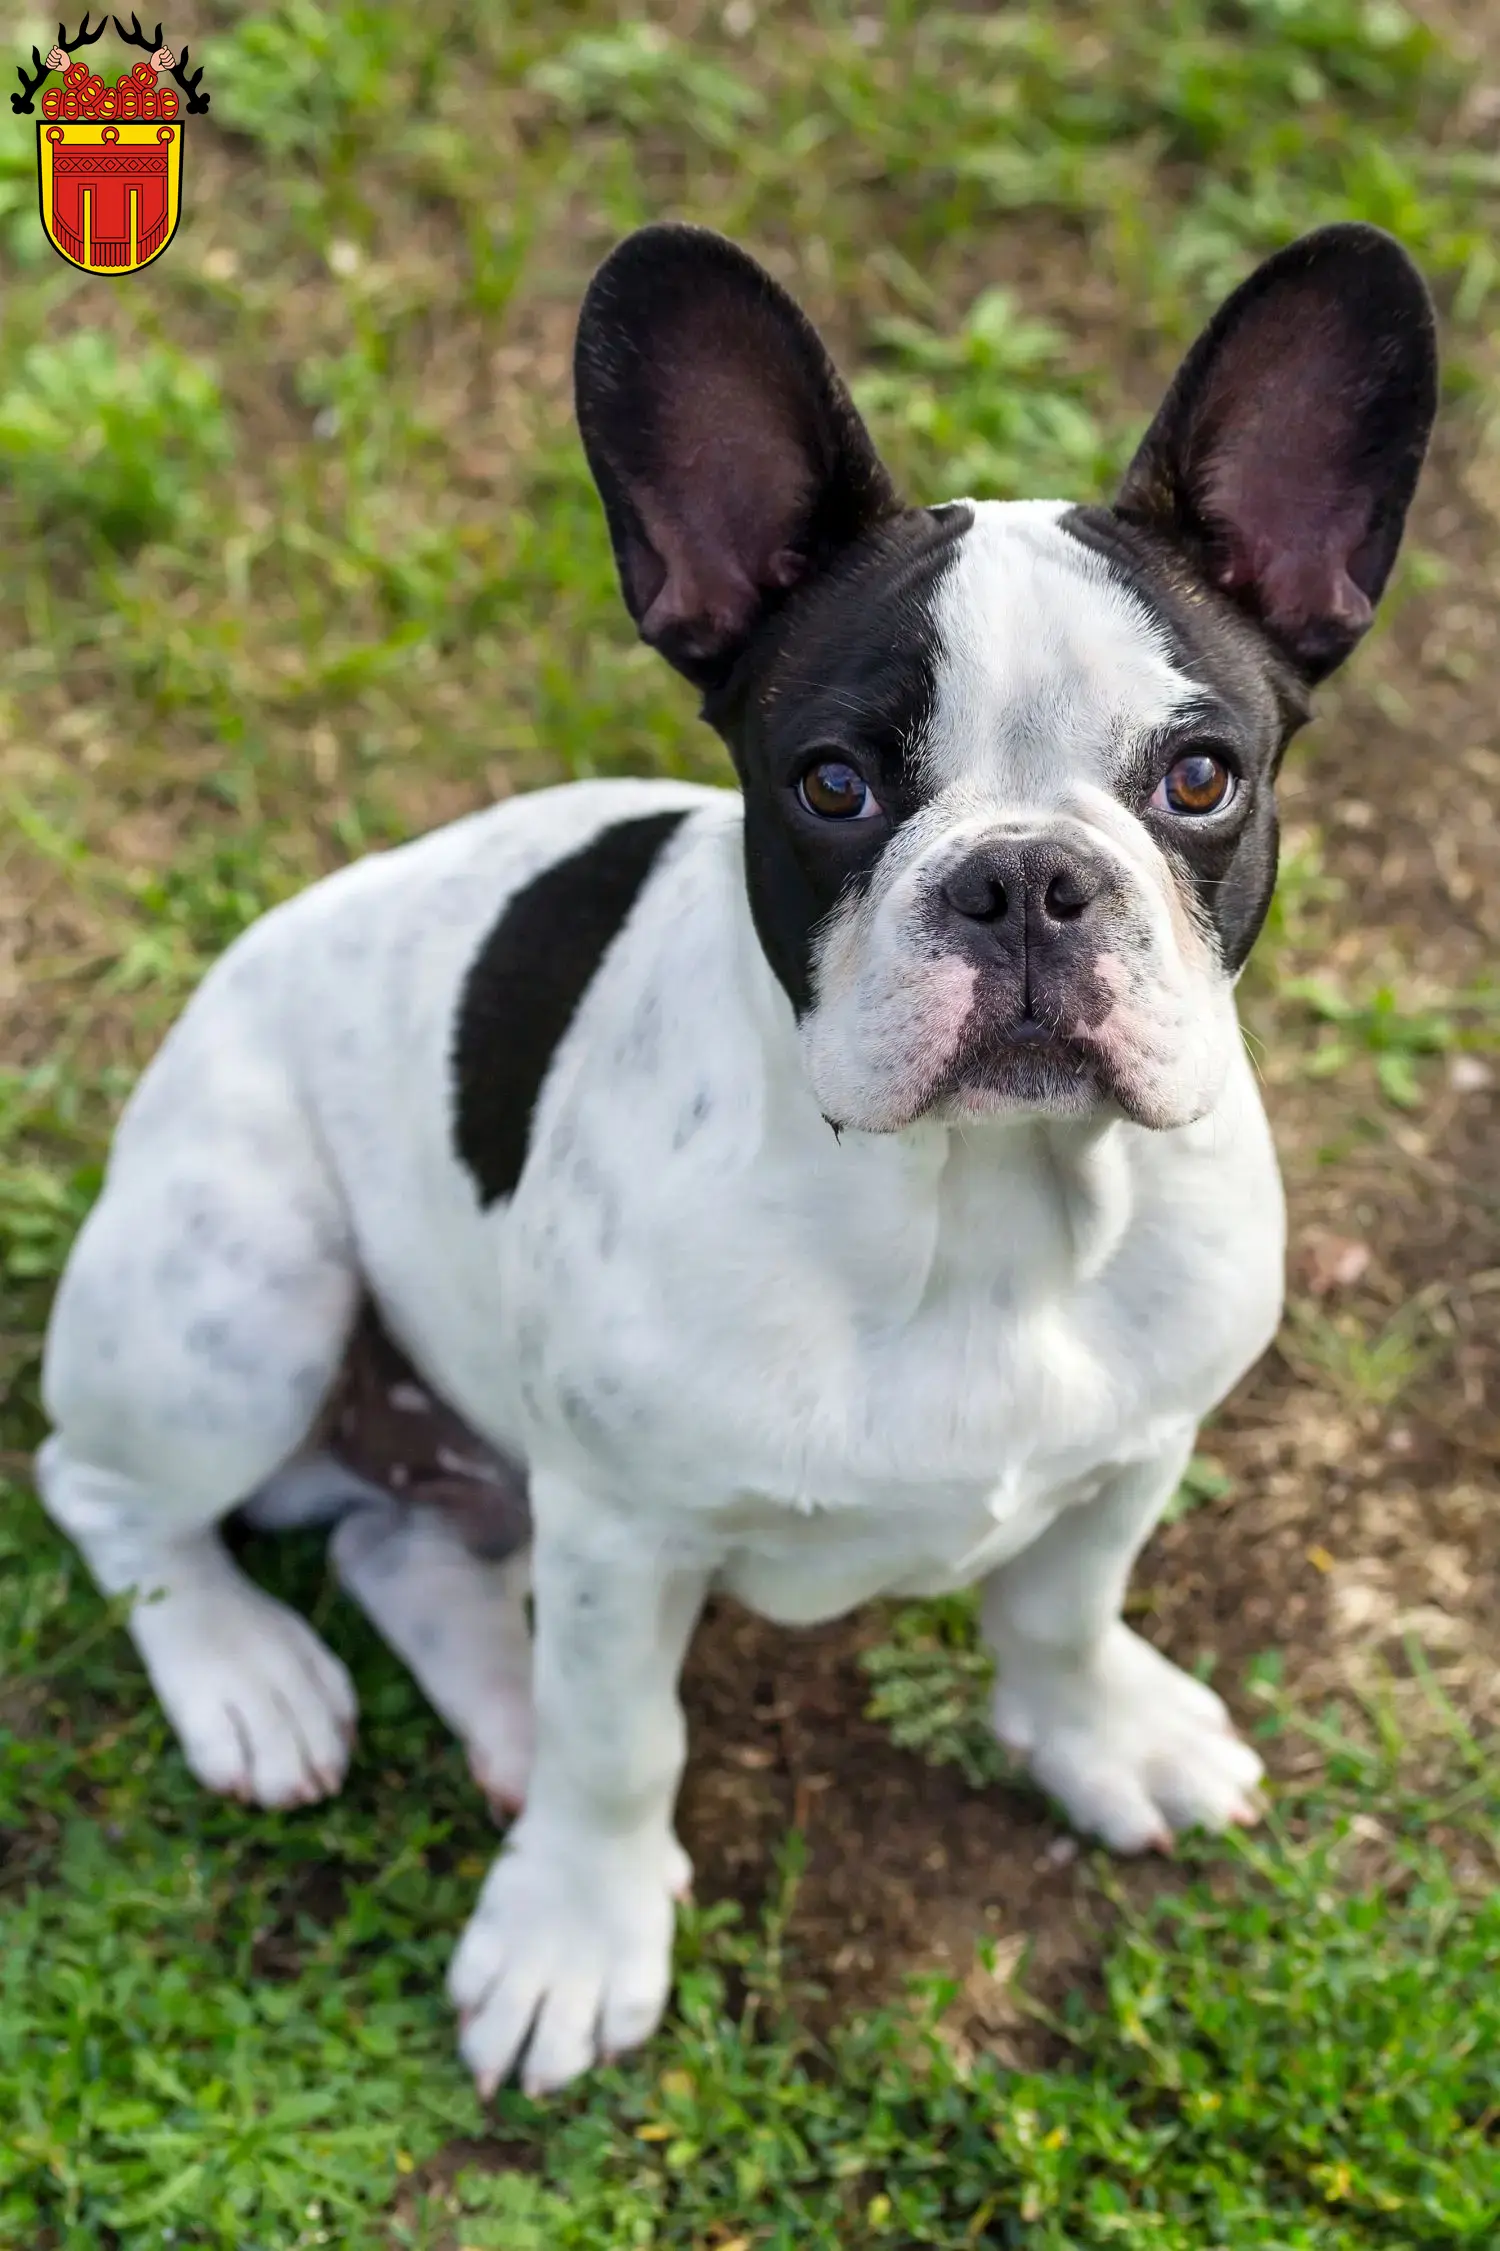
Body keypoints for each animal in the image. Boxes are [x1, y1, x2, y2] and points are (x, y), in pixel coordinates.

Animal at [40, 223, 1432, 2088]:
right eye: (831, 785)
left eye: (1203, 777)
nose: (1024, 877)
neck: (981, 1208)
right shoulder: (626, 1532)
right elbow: (624, 1739)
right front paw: (577, 1932)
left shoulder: (1137, 1446)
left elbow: (1062, 1611)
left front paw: (1103, 1734)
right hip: (241, 1300)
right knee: (109, 1489)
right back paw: (253, 1677)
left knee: (399, 1549)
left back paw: (491, 1717)